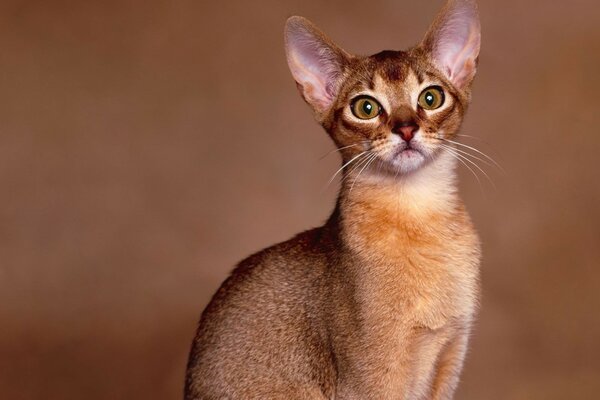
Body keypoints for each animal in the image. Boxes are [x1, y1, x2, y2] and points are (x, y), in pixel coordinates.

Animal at [185, 1, 480, 398]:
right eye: (366, 108)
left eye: (431, 98)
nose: (406, 129)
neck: (420, 223)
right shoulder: (370, 381)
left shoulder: (449, 359)